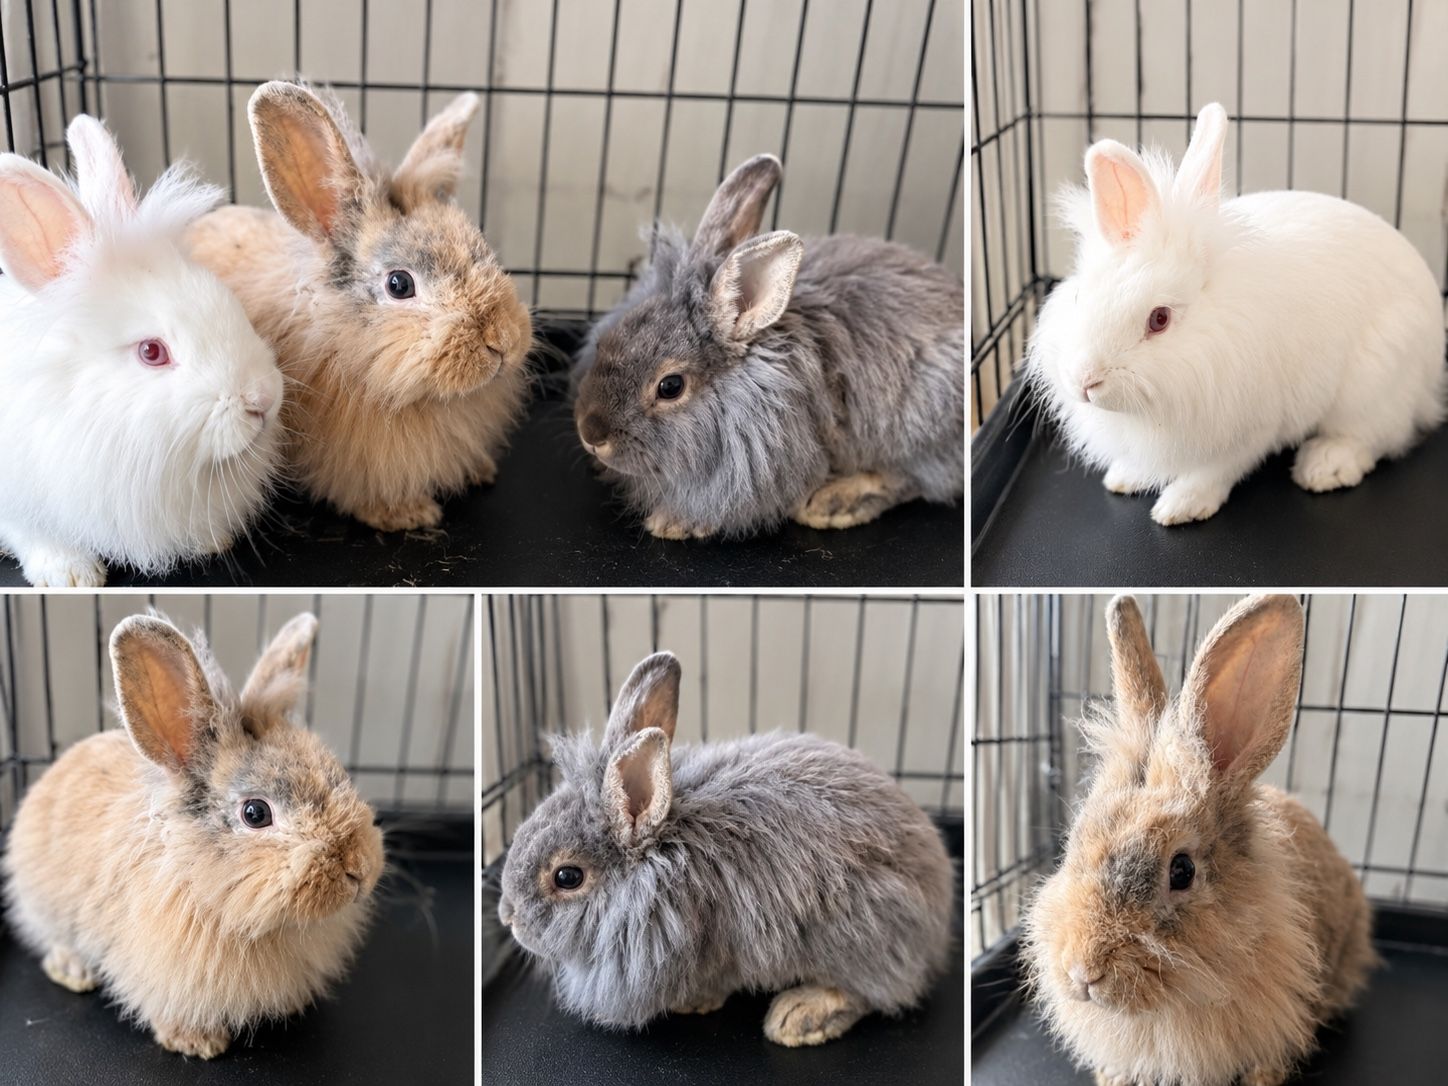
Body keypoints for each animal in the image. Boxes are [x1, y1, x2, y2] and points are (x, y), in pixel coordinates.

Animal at [497, 651, 954, 1047]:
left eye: (567, 877)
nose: (508, 917)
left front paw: (693, 1001)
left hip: (864, 929)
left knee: (874, 990)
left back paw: (798, 1017)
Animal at [571, 153, 965, 540]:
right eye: (608, 340)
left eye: (670, 387)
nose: (591, 435)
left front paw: (673, 523)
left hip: (923, 427)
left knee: (913, 479)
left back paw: (833, 504)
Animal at [1026, 102, 1446, 526]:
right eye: (1079, 294)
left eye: (1159, 319)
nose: (1084, 380)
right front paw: (1124, 478)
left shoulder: (1250, 427)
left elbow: (1215, 471)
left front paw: (1180, 507)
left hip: (1374, 383)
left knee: (1372, 437)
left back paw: (1324, 466)